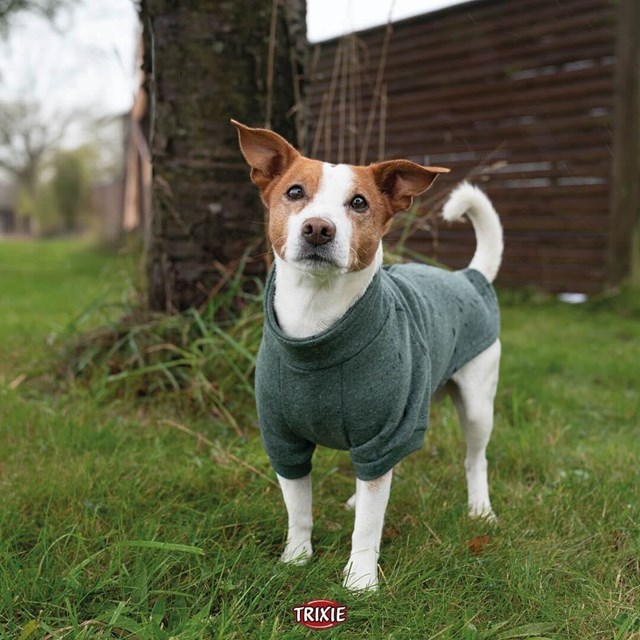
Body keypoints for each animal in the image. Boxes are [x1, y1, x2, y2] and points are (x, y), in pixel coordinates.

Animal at [232, 120, 502, 592]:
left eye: (359, 203)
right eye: (295, 192)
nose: (318, 229)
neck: (317, 320)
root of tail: (470, 277)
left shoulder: (385, 430)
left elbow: (369, 527)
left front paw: (360, 580)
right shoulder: (284, 439)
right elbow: (299, 509)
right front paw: (295, 559)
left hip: (475, 403)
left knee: (474, 459)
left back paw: (479, 509)